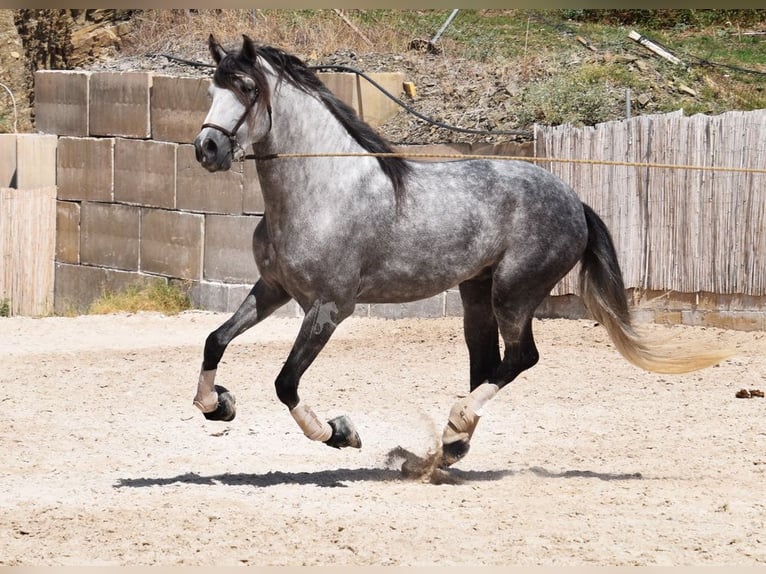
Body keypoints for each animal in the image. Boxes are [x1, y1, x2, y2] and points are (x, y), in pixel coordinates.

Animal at [190, 35, 732, 468]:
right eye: (212, 90)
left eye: (247, 89)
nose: (207, 150)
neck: (323, 190)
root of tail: (574, 201)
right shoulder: (274, 289)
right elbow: (215, 340)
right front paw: (218, 404)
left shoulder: (329, 308)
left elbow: (285, 383)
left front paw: (341, 434)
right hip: (476, 295)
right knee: (487, 365)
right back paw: (453, 444)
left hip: (514, 292)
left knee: (521, 358)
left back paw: (455, 425)